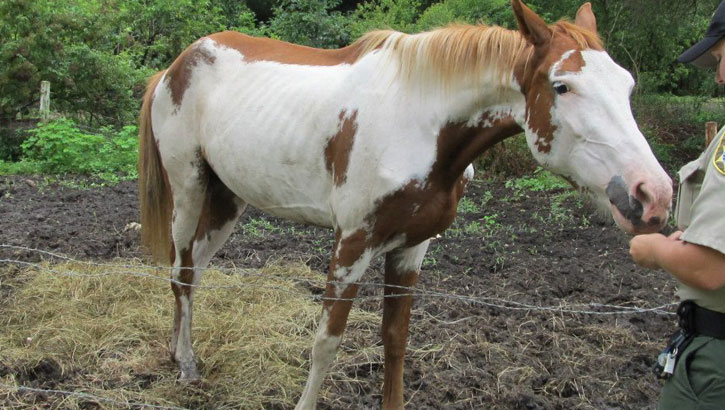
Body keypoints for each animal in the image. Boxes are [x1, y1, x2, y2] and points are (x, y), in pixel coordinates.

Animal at [138, 1, 672, 408]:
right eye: (562, 86)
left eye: (626, 85)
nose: (653, 194)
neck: (421, 123)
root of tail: (174, 68)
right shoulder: (353, 243)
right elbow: (326, 342)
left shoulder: (412, 249)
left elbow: (395, 340)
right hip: (189, 190)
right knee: (181, 272)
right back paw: (187, 367)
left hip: (228, 201)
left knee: (193, 272)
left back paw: (177, 353)